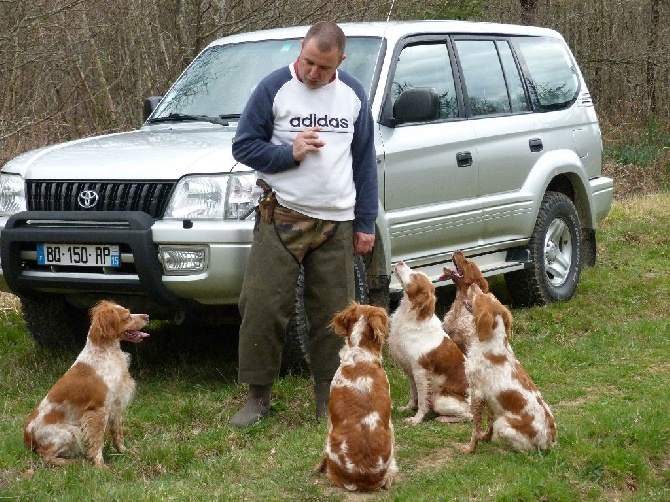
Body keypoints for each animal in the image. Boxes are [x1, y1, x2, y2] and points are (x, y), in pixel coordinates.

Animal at [24, 300, 150, 468]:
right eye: (127, 316)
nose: (147, 316)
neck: (105, 353)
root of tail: (27, 436)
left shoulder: (115, 404)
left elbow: (118, 434)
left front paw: (124, 451)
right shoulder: (99, 409)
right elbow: (97, 442)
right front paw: (100, 466)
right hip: (69, 431)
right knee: (46, 455)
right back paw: (73, 462)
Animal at [388, 262, 472, 424]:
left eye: (414, 276)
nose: (400, 262)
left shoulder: (420, 371)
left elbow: (422, 400)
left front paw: (416, 419)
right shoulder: (410, 370)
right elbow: (413, 393)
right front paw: (408, 408)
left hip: (440, 400)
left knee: (468, 416)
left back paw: (442, 418)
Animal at [462, 284, 556, 452]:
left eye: (479, 296)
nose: (473, 285)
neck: (491, 343)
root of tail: (549, 440)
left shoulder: (476, 393)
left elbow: (475, 428)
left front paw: (470, 448)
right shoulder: (490, 401)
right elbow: (488, 423)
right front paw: (485, 438)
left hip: (503, 423)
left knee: (525, 452)